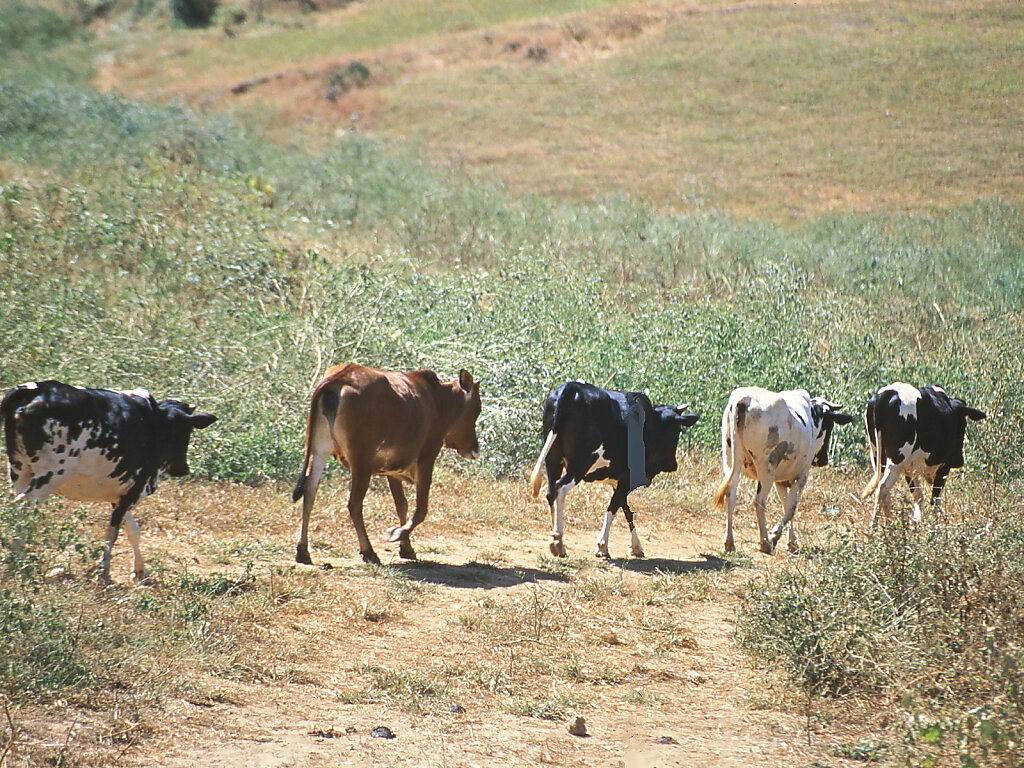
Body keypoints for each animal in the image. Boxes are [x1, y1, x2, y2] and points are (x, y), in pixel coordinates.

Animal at [2, 382, 216, 585]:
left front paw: (140, 572)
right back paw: (18, 564)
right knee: (23, 510)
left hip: (20, 472)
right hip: (49, 477)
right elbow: (112, 534)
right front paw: (104, 575)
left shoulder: (120, 493)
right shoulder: (135, 489)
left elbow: (133, 530)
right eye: (186, 430)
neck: (155, 421)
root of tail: (34, 389)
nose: (183, 469)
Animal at [288, 364, 479, 569]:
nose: (475, 449)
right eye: (477, 409)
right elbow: (421, 509)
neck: (438, 401)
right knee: (354, 504)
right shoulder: (426, 459)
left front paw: (406, 547)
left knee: (309, 492)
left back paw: (303, 550)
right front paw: (398, 534)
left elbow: (402, 505)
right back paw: (368, 551)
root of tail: (341, 376)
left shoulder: (392, 470)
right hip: (361, 461)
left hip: (318, 451)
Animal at [528, 382, 704, 561]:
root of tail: (571, 387)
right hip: (580, 464)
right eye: (677, 431)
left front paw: (636, 546)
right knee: (560, 489)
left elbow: (626, 509)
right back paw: (558, 542)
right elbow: (613, 509)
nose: (673, 465)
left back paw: (555, 538)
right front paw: (603, 546)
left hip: (553, 459)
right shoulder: (628, 478)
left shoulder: (619, 480)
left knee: (551, 493)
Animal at [712, 391, 856, 552]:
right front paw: (775, 535)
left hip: (731, 462)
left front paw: (791, 541)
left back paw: (729, 542)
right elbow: (791, 508)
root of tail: (744, 399)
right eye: (829, 425)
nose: (823, 460)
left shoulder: (780, 480)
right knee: (759, 501)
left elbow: (786, 505)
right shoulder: (801, 475)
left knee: (730, 496)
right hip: (766, 469)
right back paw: (765, 542)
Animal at [860, 382, 987, 528]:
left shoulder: (910, 467)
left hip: (878, 456)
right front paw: (935, 526)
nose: (959, 461)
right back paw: (874, 527)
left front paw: (917, 522)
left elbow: (918, 496)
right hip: (897, 459)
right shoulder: (944, 467)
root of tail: (887, 393)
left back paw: (888, 525)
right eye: (963, 424)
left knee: (884, 491)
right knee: (882, 487)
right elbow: (935, 500)